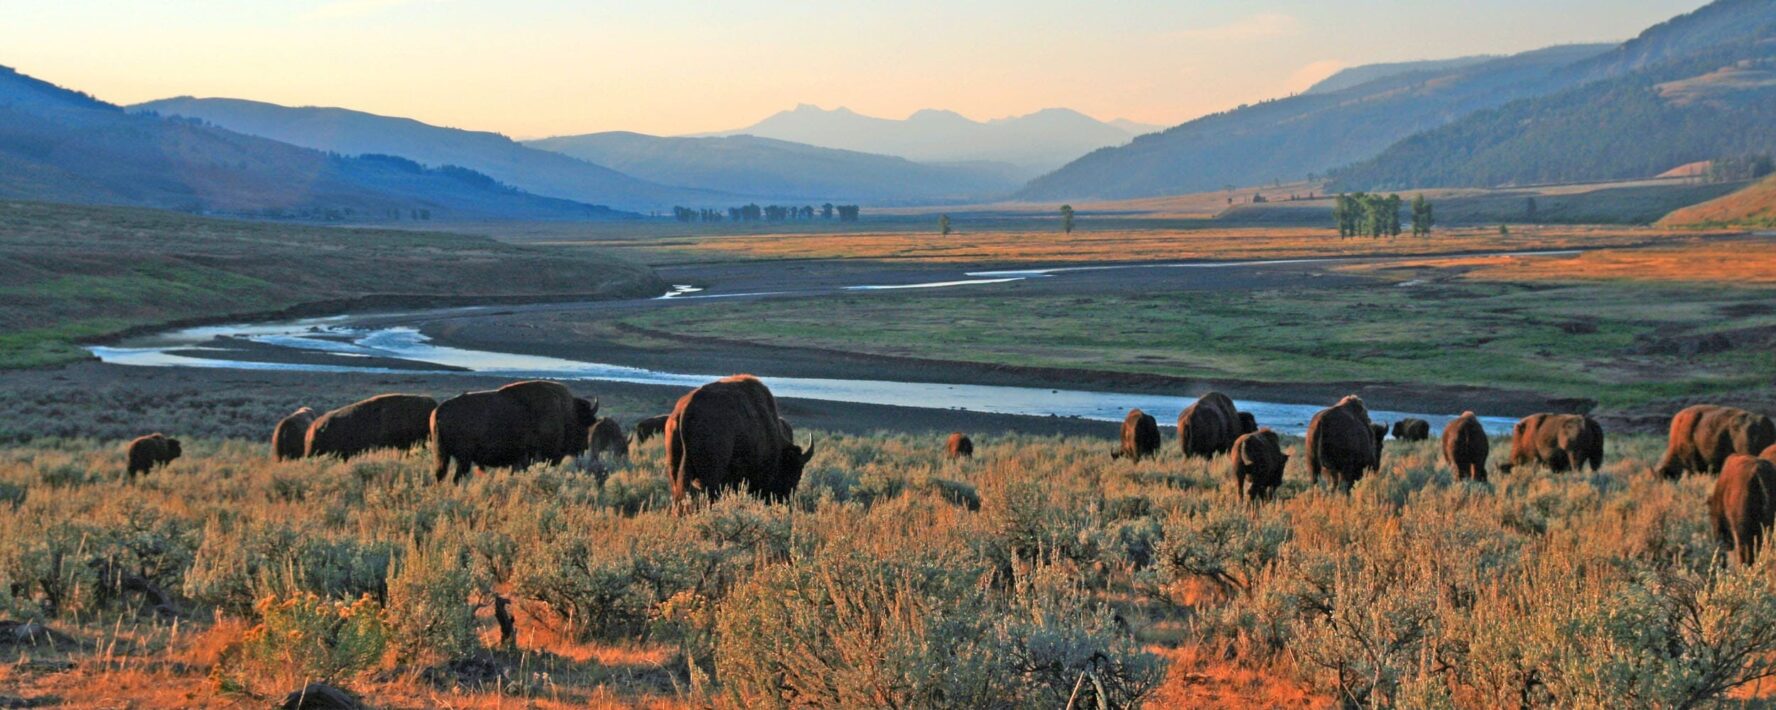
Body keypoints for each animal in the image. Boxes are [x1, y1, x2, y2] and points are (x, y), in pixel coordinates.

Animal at [432, 381, 597, 482]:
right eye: (584, 425)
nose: (585, 447)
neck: (566, 414)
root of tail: (439, 410)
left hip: (443, 455)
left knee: (441, 475)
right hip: (463, 459)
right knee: (456, 477)